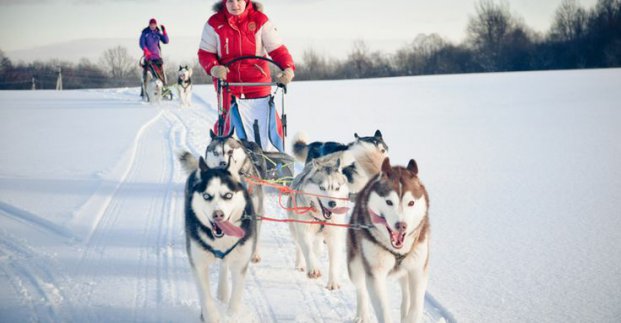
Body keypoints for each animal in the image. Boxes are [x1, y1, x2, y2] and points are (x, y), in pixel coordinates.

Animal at [179, 154, 256, 323]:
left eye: (228, 195)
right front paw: (211, 316)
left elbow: (236, 296)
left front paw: (232, 316)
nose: (218, 215)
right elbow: (205, 297)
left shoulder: (240, 262)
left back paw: (222, 291)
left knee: (224, 264)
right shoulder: (198, 263)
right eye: (207, 196)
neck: (221, 239)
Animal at [288, 157, 352, 292]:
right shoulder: (304, 232)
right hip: (295, 229)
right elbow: (307, 250)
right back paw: (300, 263)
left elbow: (334, 261)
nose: (333, 203)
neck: (321, 218)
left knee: (317, 249)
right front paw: (313, 269)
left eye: (337, 188)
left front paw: (333, 282)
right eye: (322, 188)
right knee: (299, 247)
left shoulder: (334, 237)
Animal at [346, 158, 428, 322]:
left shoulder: (418, 270)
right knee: (361, 288)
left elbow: (416, 307)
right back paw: (362, 314)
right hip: (355, 265)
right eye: (389, 202)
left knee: (406, 291)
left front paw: (410, 317)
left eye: (411, 203)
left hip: (407, 269)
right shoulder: (375, 274)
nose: (401, 225)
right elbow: (383, 310)